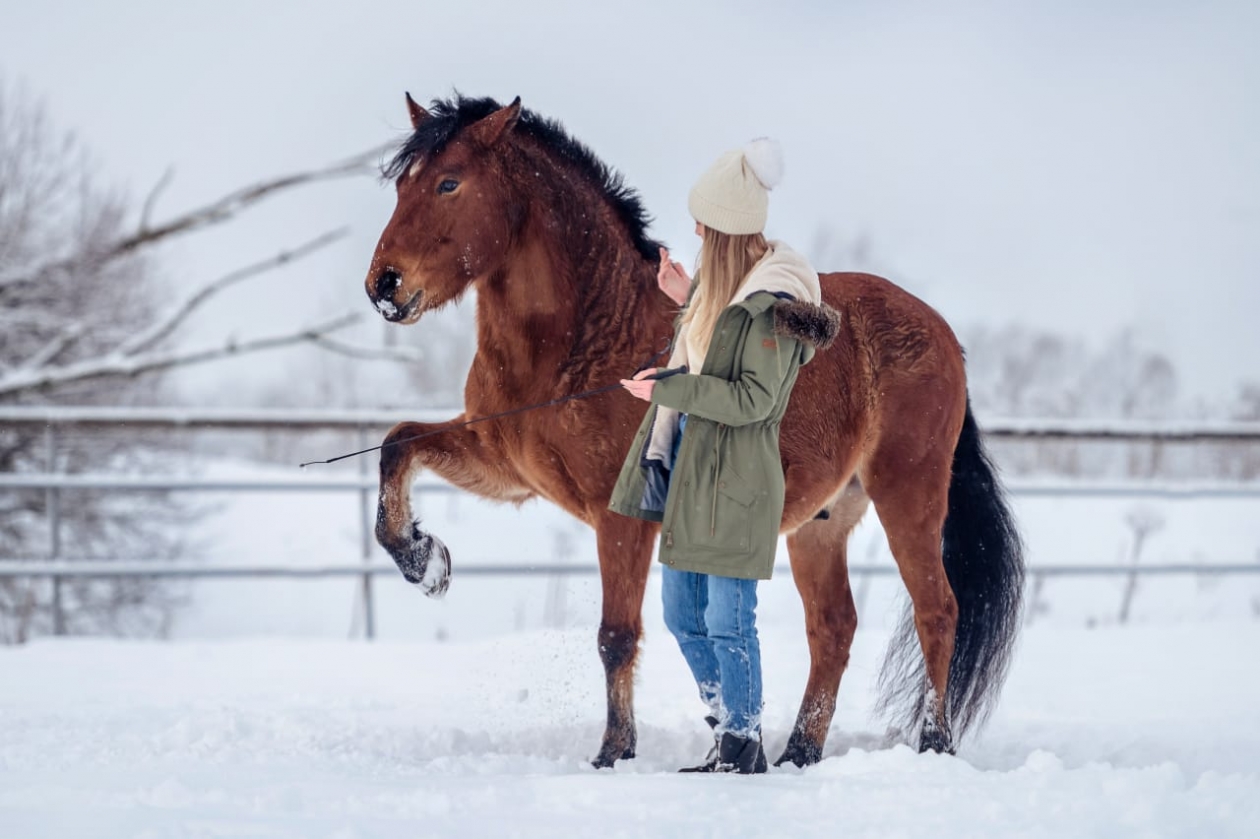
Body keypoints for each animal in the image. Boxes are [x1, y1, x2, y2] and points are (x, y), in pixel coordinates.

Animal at [357, 91, 1023, 765]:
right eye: (401, 184)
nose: (384, 286)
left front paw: (614, 752)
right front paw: (423, 561)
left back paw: (932, 743)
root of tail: (941, 334)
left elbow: (617, 634)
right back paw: (795, 752)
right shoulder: (504, 466)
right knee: (834, 627)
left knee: (937, 611)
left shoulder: (619, 514)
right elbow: (396, 445)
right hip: (824, 521)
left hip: (908, 495)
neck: (585, 334)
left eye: (449, 182)